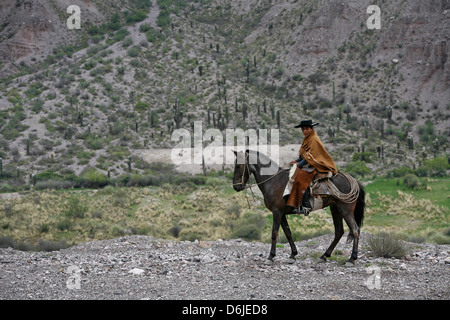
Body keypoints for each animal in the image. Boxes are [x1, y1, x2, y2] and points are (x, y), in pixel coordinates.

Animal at [232, 150, 366, 264]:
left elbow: (274, 233)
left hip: (345, 210)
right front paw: (293, 254)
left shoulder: (277, 212)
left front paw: (271, 257)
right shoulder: (282, 213)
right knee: (339, 231)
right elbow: (288, 232)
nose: (236, 187)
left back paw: (352, 258)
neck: (274, 181)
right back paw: (324, 256)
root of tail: (354, 180)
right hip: (335, 209)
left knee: (355, 229)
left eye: (238, 166)